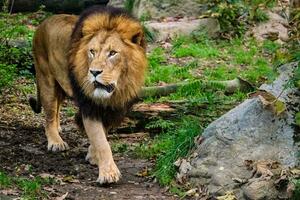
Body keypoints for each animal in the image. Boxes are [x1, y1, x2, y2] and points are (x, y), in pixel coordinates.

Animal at [29, 5, 147, 184]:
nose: (94, 72)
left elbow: (102, 134)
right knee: (49, 115)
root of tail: (43, 23)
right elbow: (101, 140)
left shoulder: (113, 108)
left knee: (57, 107)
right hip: (46, 79)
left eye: (112, 53)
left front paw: (93, 156)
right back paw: (55, 142)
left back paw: (58, 127)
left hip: (60, 85)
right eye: (92, 51)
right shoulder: (89, 106)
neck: (118, 88)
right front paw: (108, 173)